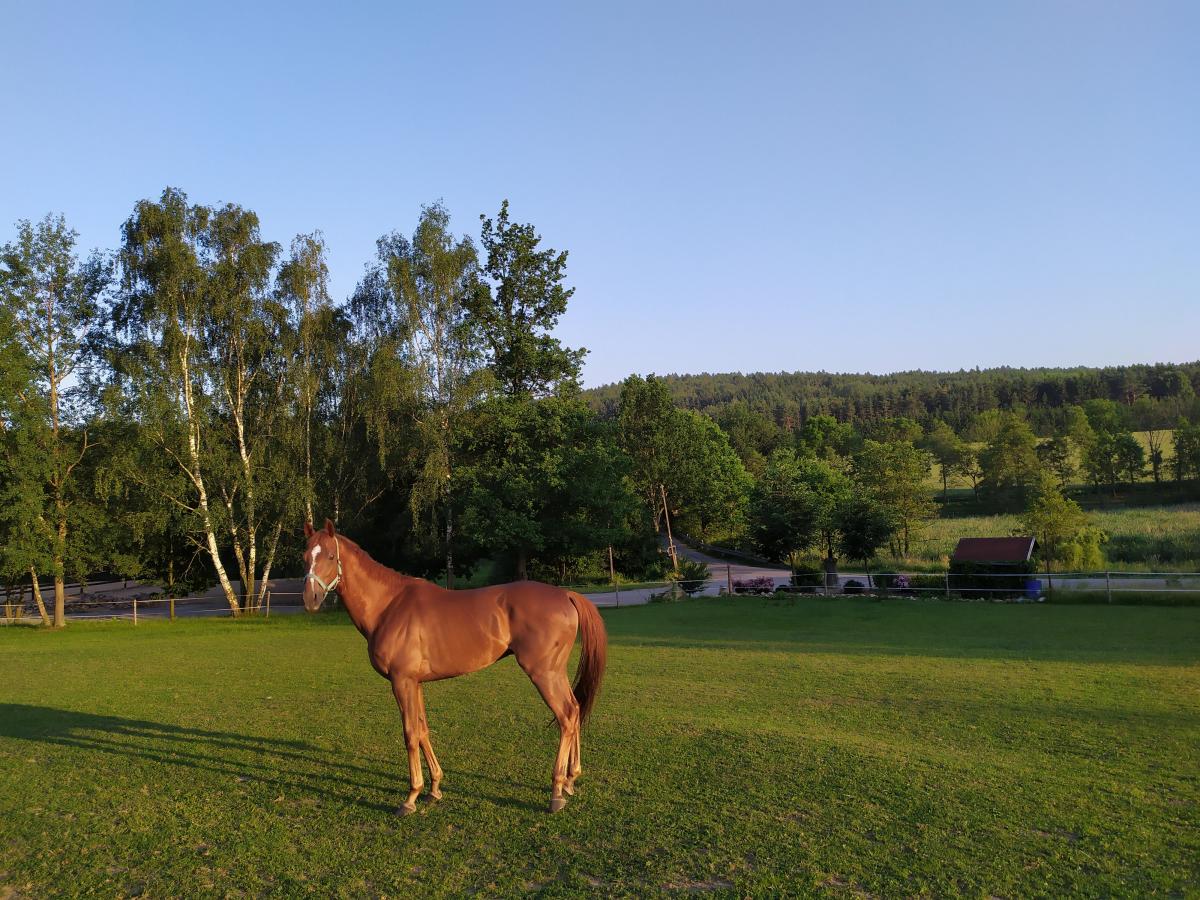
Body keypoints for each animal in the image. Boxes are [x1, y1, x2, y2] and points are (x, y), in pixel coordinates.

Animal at [297, 513, 600, 816]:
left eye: (331, 555)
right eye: (305, 556)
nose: (310, 600)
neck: (389, 606)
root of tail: (566, 595)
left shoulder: (401, 681)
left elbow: (410, 734)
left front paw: (411, 796)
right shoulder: (414, 683)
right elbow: (423, 730)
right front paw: (433, 789)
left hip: (543, 673)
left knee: (566, 716)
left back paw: (556, 791)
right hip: (556, 673)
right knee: (575, 709)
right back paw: (571, 780)